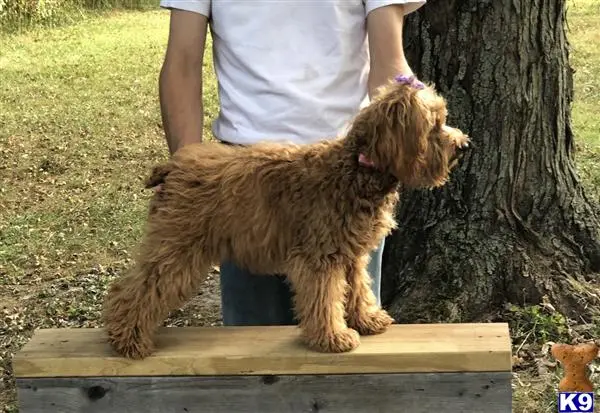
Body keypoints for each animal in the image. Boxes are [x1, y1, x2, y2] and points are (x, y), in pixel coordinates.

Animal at [102, 76, 468, 358]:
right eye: (435, 125)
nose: (463, 146)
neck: (355, 170)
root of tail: (172, 167)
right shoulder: (320, 258)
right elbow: (324, 298)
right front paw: (332, 337)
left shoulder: (349, 254)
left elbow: (357, 288)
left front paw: (366, 318)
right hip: (178, 247)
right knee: (134, 289)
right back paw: (129, 339)